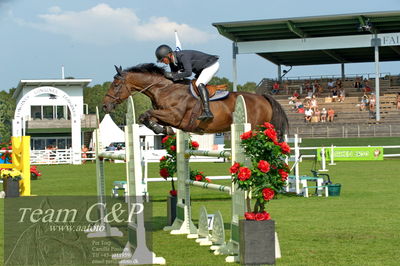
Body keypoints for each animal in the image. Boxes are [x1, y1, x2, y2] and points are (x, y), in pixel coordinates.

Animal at [101, 64, 286, 139]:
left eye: (115, 85)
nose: (105, 105)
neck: (164, 89)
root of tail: (263, 97)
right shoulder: (168, 117)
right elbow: (147, 117)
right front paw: (162, 129)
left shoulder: (174, 116)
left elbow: (146, 114)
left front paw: (160, 129)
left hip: (255, 128)